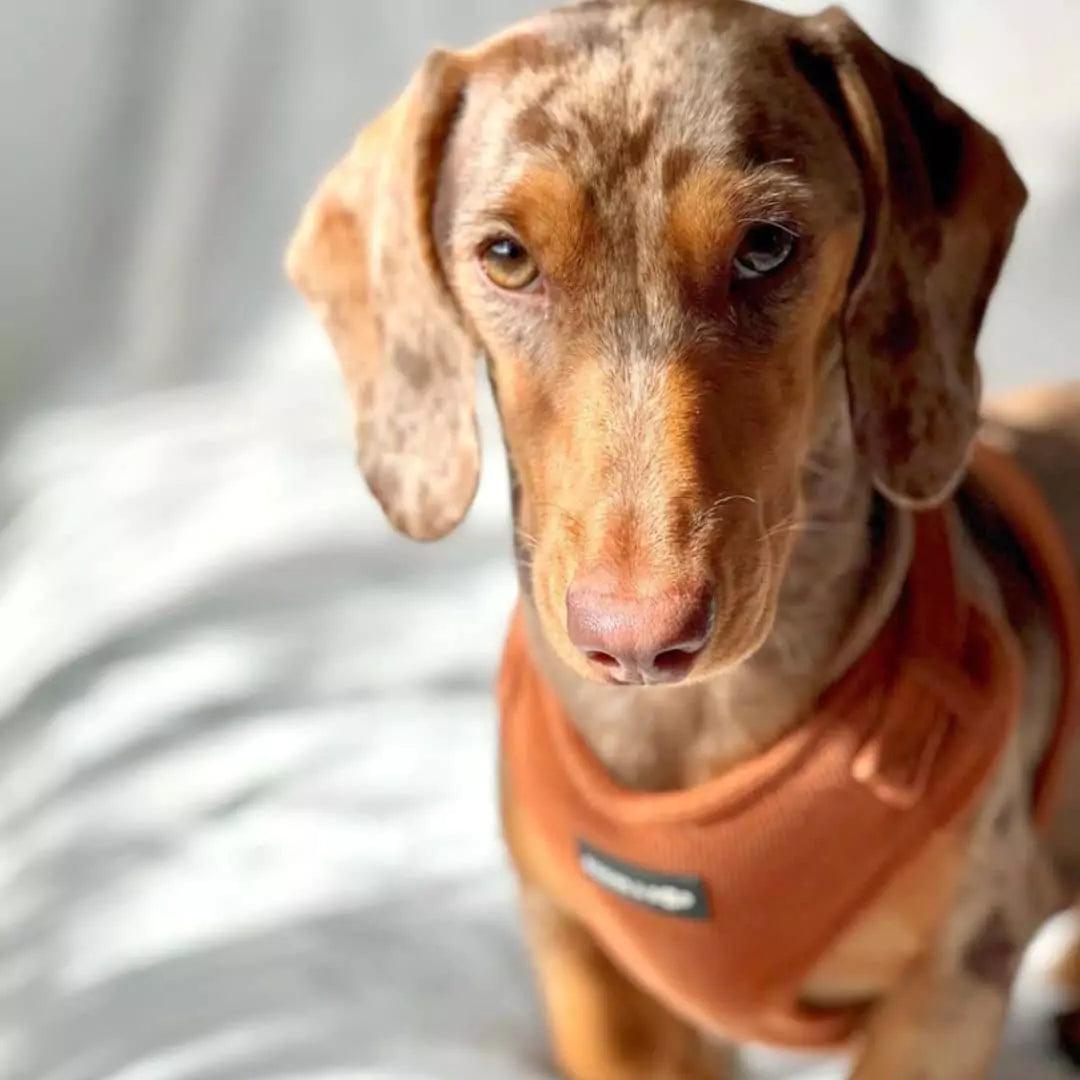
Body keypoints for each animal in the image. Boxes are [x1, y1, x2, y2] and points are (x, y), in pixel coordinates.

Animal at [287, 4, 1080, 1075]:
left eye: (767, 245)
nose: (636, 640)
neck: (692, 733)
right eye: (505, 256)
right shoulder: (591, 970)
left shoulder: (954, 979)